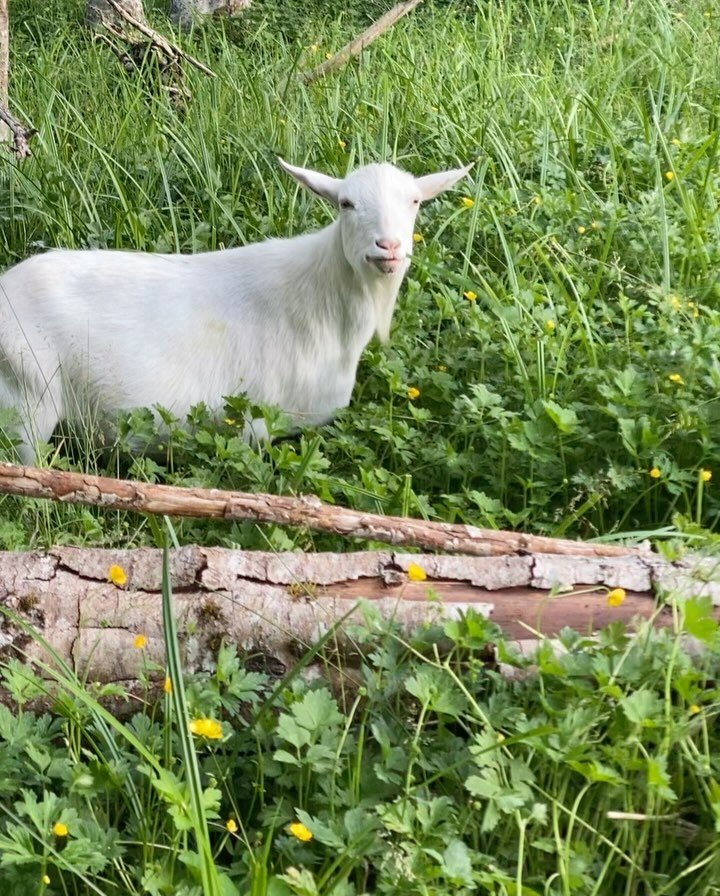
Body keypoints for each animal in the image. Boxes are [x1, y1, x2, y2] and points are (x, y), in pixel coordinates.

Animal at [0, 158, 471, 464]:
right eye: (346, 203)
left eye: (415, 202)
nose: (388, 246)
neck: (322, 296)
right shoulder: (254, 423)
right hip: (28, 403)